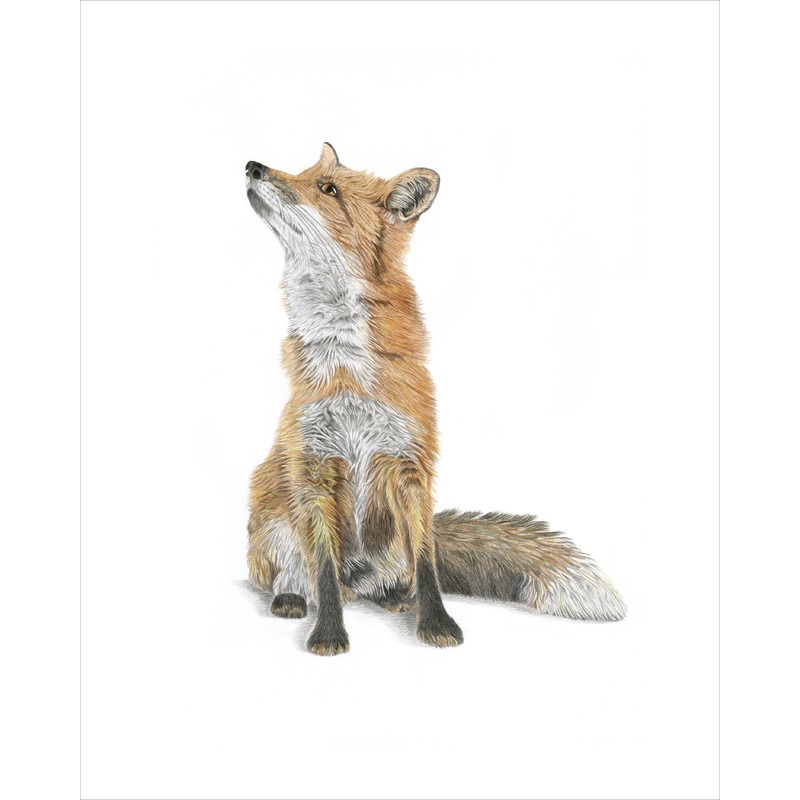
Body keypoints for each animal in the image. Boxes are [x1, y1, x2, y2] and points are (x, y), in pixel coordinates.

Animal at [244, 143, 626, 655]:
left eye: (327, 188)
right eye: (305, 172)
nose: (253, 167)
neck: (345, 358)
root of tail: (359, 576)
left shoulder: (411, 462)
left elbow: (427, 564)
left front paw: (437, 624)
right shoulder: (313, 464)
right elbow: (322, 570)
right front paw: (329, 634)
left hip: (385, 544)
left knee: (389, 576)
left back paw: (394, 598)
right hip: (272, 517)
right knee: (301, 574)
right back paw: (292, 598)